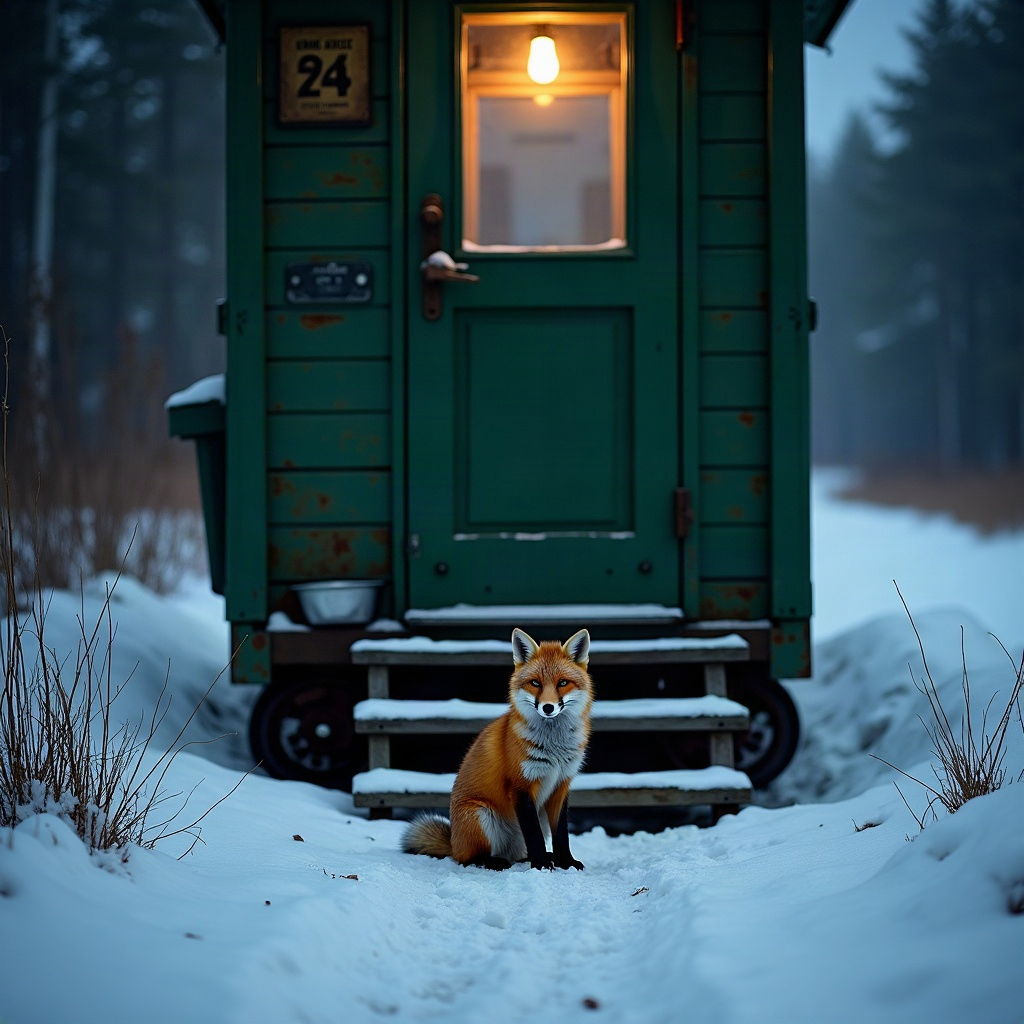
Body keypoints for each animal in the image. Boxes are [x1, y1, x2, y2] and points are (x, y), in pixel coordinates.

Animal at [402, 627, 593, 870]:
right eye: (535, 683)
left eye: (562, 683)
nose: (548, 707)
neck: (554, 749)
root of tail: (454, 843)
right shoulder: (520, 787)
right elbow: (535, 837)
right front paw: (541, 865)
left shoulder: (560, 785)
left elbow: (562, 835)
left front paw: (565, 862)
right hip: (481, 816)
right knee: (469, 859)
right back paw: (496, 861)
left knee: (518, 853)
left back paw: (529, 858)